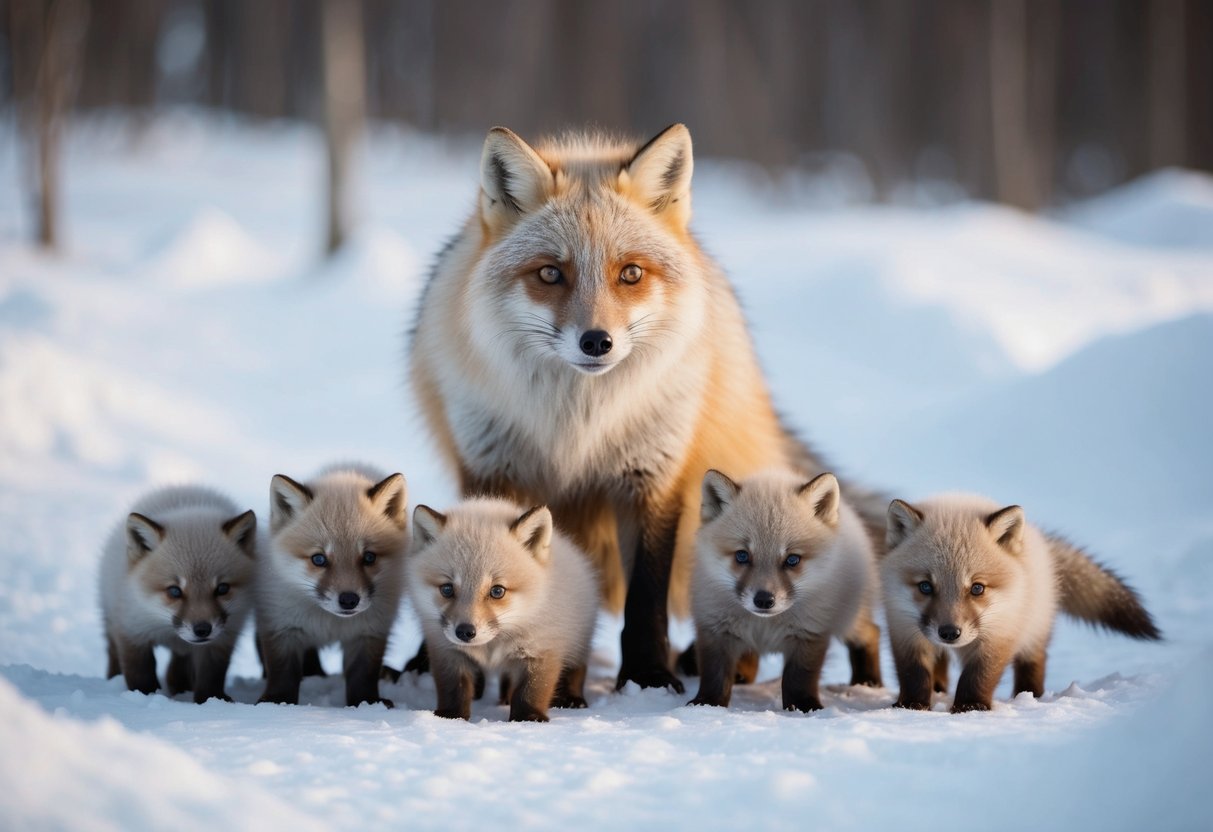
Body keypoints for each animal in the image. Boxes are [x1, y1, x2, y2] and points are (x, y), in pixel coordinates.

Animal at [99, 485, 257, 703]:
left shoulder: (222, 639)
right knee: (113, 652)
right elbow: (139, 674)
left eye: (222, 588)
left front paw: (210, 701)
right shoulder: (132, 631)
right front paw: (145, 696)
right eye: (175, 590)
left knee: (177, 668)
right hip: (111, 617)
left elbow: (211, 675)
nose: (202, 630)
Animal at [256, 464, 408, 708]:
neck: (330, 623)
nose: (349, 600)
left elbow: (363, 674)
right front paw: (278, 702)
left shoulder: (369, 632)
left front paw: (366, 703)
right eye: (319, 559)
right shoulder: (282, 626)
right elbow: (283, 672)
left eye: (369, 557)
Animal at [407, 498, 598, 722]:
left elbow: (530, 691)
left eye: (497, 591)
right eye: (447, 589)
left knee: (577, 670)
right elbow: (453, 688)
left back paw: (573, 698)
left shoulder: (541, 649)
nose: (465, 632)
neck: (492, 645)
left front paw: (527, 719)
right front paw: (452, 717)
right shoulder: (447, 650)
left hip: (578, 643)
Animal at [689, 469, 881, 712]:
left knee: (872, 633)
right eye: (742, 555)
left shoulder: (809, 632)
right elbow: (715, 675)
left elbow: (798, 678)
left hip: (850, 619)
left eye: (792, 560)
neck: (764, 625)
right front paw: (707, 705)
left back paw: (868, 682)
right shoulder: (715, 629)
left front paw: (803, 707)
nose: (763, 600)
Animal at [883, 494, 1161, 713]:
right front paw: (912, 706)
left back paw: (1029, 696)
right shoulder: (904, 629)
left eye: (977, 588)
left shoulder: (1000, 632)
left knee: (1034, 661)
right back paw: (939, 690)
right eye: (925, 586)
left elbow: (978, 676)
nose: (950, 633)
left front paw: (970, 707)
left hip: (1034, 627)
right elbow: (913, 673)